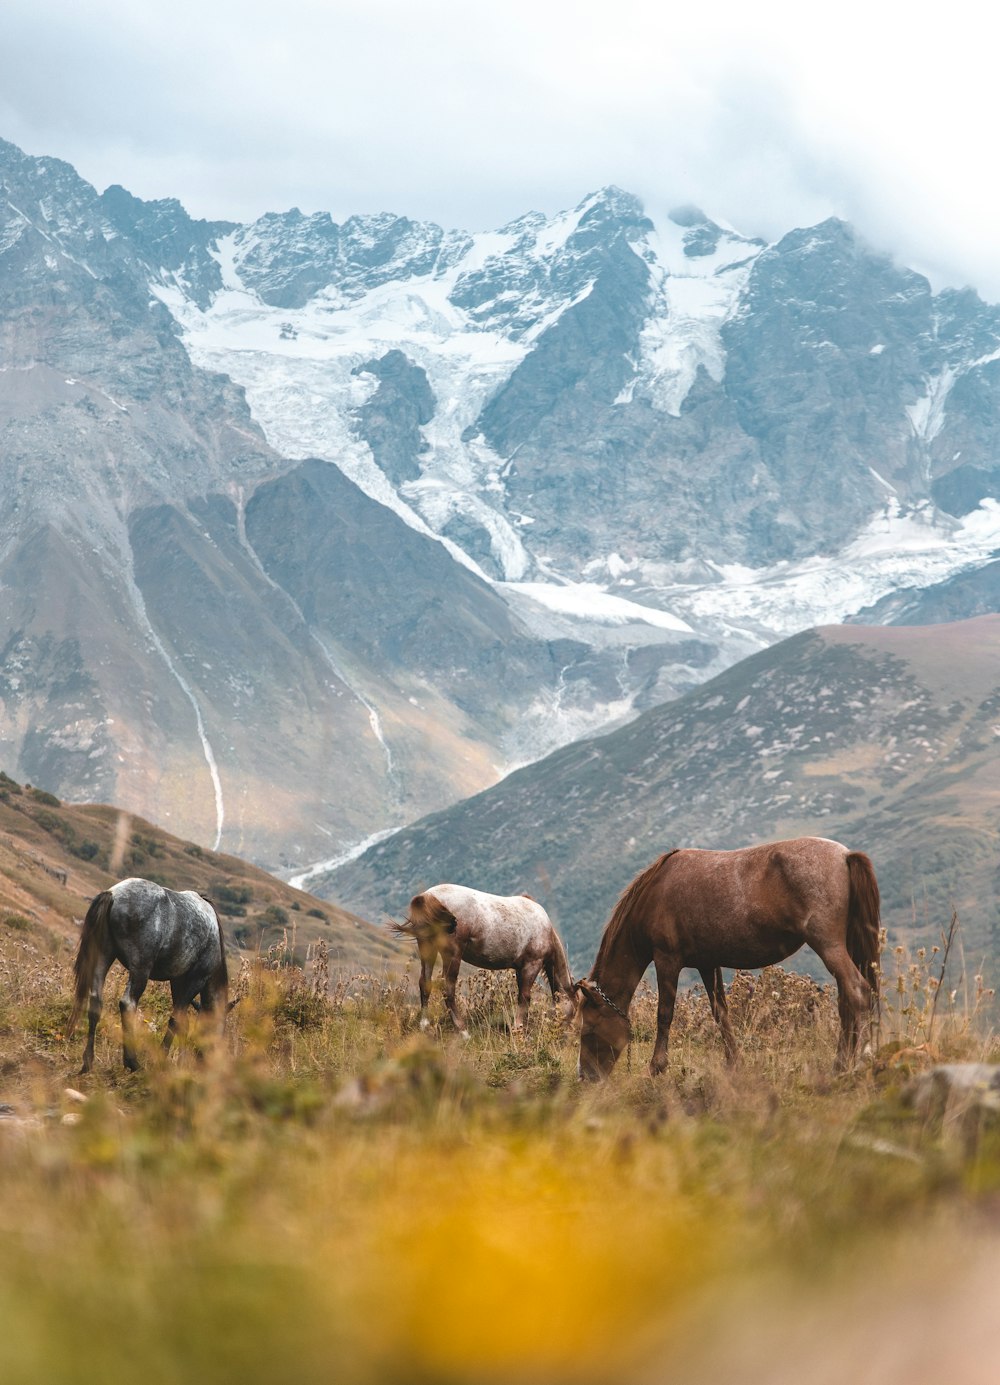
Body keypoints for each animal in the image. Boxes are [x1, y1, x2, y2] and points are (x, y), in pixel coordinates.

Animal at [68, 880, 228, 1074]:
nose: (207, 1065)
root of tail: (113, 894)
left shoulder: (177, 981)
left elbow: (183, 1022)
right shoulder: (196, 979)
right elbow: (175, 1020)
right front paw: (162, 1060)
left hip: (102, 955)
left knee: (95, 1002)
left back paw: (88, 1062)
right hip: (140, 968)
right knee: (128, 1003)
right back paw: (133, 1062)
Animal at [390, 886, 576, 1041]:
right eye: (574, 1010)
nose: (564, 1036)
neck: (546, 929)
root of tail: (428, 896)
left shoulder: (519, 969)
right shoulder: (531, 964)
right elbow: (524, 997)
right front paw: (518, 1030)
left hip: (427, 948)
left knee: (425, 984)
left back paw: (424, 1026)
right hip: (452, 955)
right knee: (448, 991)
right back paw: (463, 1031)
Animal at [573, 831, 875, 1080]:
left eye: (588, 1030)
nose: (585, 1077)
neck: (655, 893)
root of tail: (845, 855)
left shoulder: (667, 960)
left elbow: (665, 1013)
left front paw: (656, 1067)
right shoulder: (708, 964)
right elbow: (720, 1012)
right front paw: (734, 1062)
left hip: (828, 945)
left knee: (857, 991)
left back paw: (850, 1064)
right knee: (847, 999)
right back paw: (845, 1062)